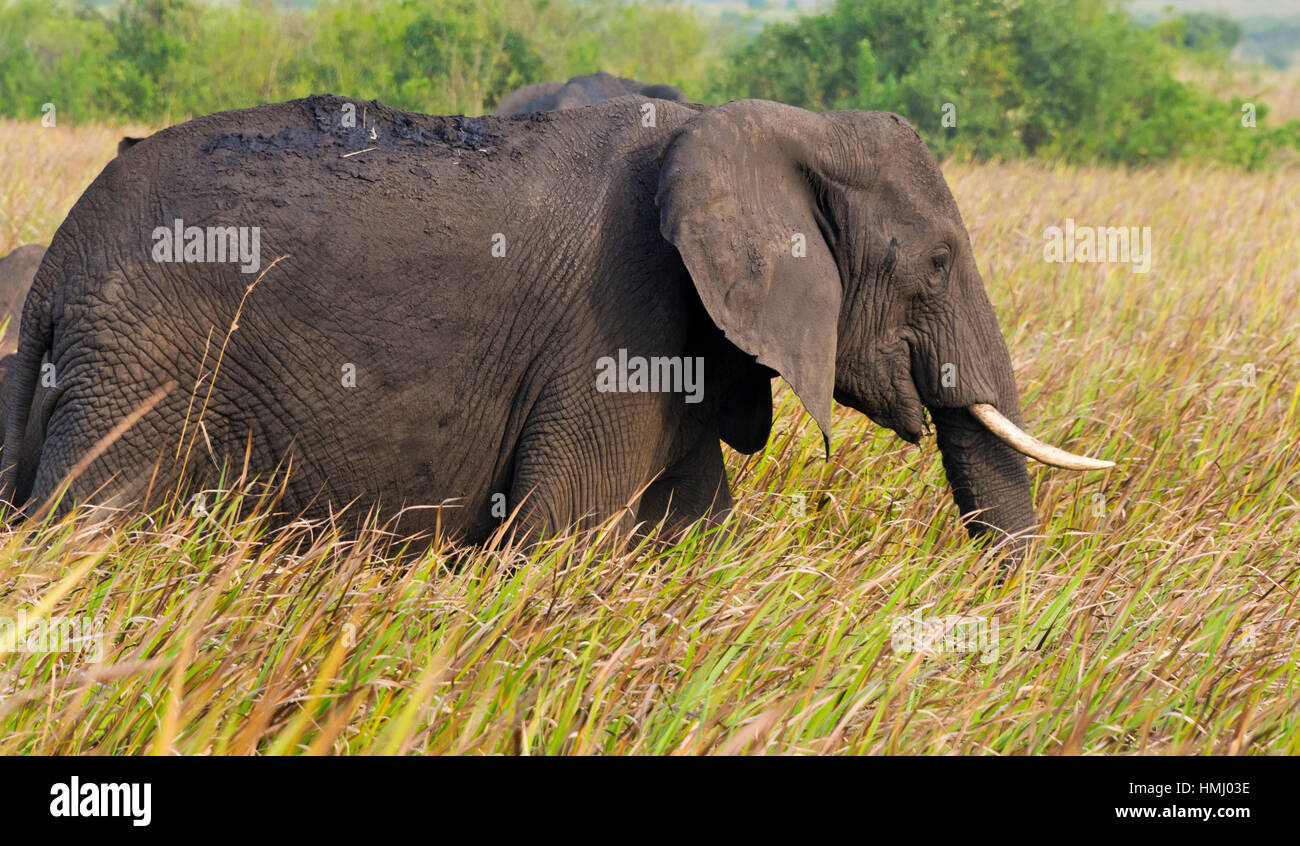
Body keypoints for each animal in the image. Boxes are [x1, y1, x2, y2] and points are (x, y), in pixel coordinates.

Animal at [0, 94, 1107, 556]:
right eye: (935, 265)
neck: (777, 126)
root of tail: (55, 267)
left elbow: (691, 534)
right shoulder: (618, 332)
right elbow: (555, 539)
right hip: (140, 363)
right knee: (88, 526)